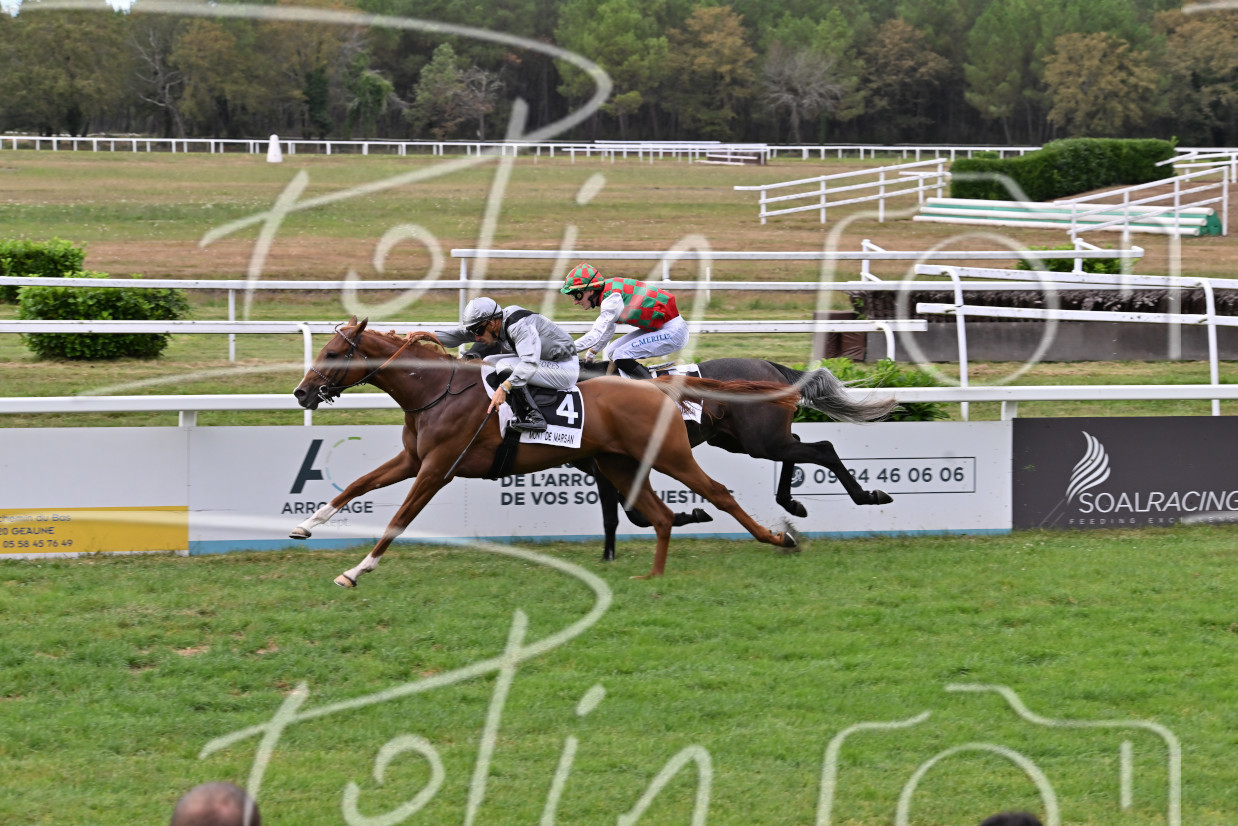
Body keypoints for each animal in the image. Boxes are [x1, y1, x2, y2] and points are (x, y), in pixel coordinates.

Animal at [290, 317, 798, 583]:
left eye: (333, 354)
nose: (301, 392)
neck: (436, 391)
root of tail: (659, 387)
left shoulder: (437, 469)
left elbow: (398, 519)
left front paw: (358, 569)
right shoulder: (413, 460)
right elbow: (356, 485)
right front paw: (305, 524)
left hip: (671, 455)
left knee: (718, 494)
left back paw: (780, 537)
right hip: (618, 462)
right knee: (658, 515)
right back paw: (654, 575)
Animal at [577, 359, 897, 561]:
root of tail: (772, 366)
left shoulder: (606, 467)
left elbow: (616, 516)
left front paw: (608, 556)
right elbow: (636, 514)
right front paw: (692, 514)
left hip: (761, 440)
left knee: (824, 449)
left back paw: (867, 496)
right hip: (741, 440)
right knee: (797, 444)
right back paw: (791, 502)